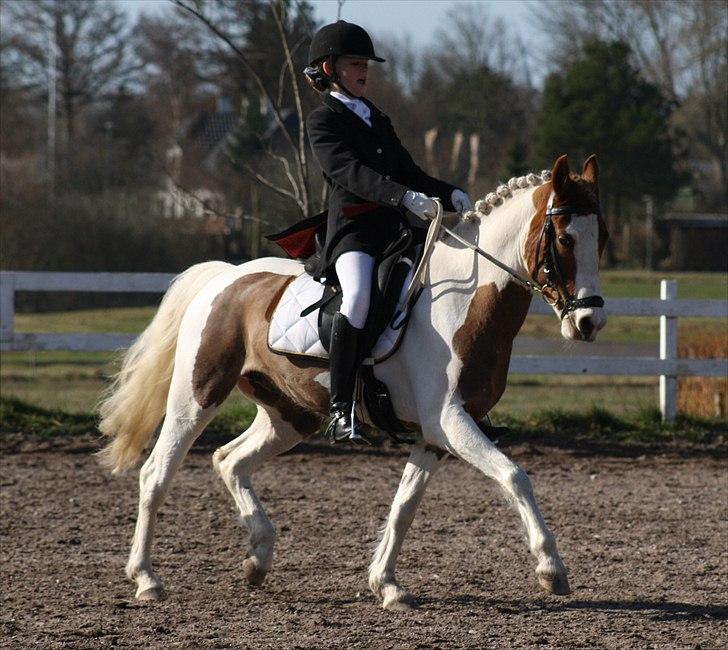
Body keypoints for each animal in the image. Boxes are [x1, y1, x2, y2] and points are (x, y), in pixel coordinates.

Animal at [98, 154, 608, 610]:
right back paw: (146, 579)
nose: (589, 323)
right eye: (564, 238)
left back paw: (258, 558)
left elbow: (404, 506)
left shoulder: (434, 433)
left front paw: (387, 585)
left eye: (598, 240)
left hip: (291, 416)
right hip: (197, 396)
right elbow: (514, 476)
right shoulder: (450, 421)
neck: (464, 302)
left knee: (230, 460)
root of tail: (225, 278)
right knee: (156, 472)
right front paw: (552, 570)